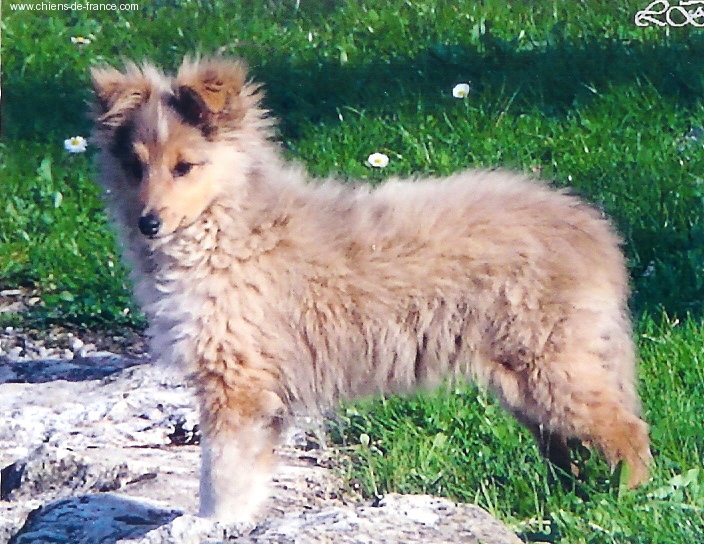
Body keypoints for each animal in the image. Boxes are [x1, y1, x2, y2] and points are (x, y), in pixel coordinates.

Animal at [91, 55, 652, 524]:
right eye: (135, 166)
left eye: (185, 167)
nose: (148, 223)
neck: (227, 229)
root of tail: (593, 229)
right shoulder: (259, 392)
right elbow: (246, 474)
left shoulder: (236, 384)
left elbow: (221, 473)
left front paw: (210, 523)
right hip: (532, 381)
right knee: (569, 445)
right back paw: (568, 497)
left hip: (554, 366)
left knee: (628, 432)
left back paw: (624, 502)